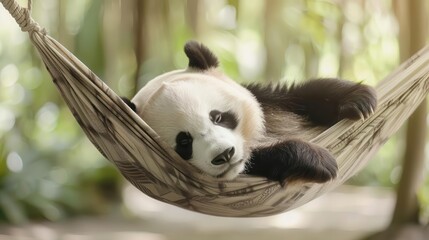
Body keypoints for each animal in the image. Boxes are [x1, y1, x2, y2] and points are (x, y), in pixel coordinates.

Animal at [120, 40, 374, 185]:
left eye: (218, 117)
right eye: (184, 142)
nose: (225, 155)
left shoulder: (267, 100)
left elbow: (299, 95)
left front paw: (359, 99)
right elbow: (262, 157)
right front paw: (319, 159)